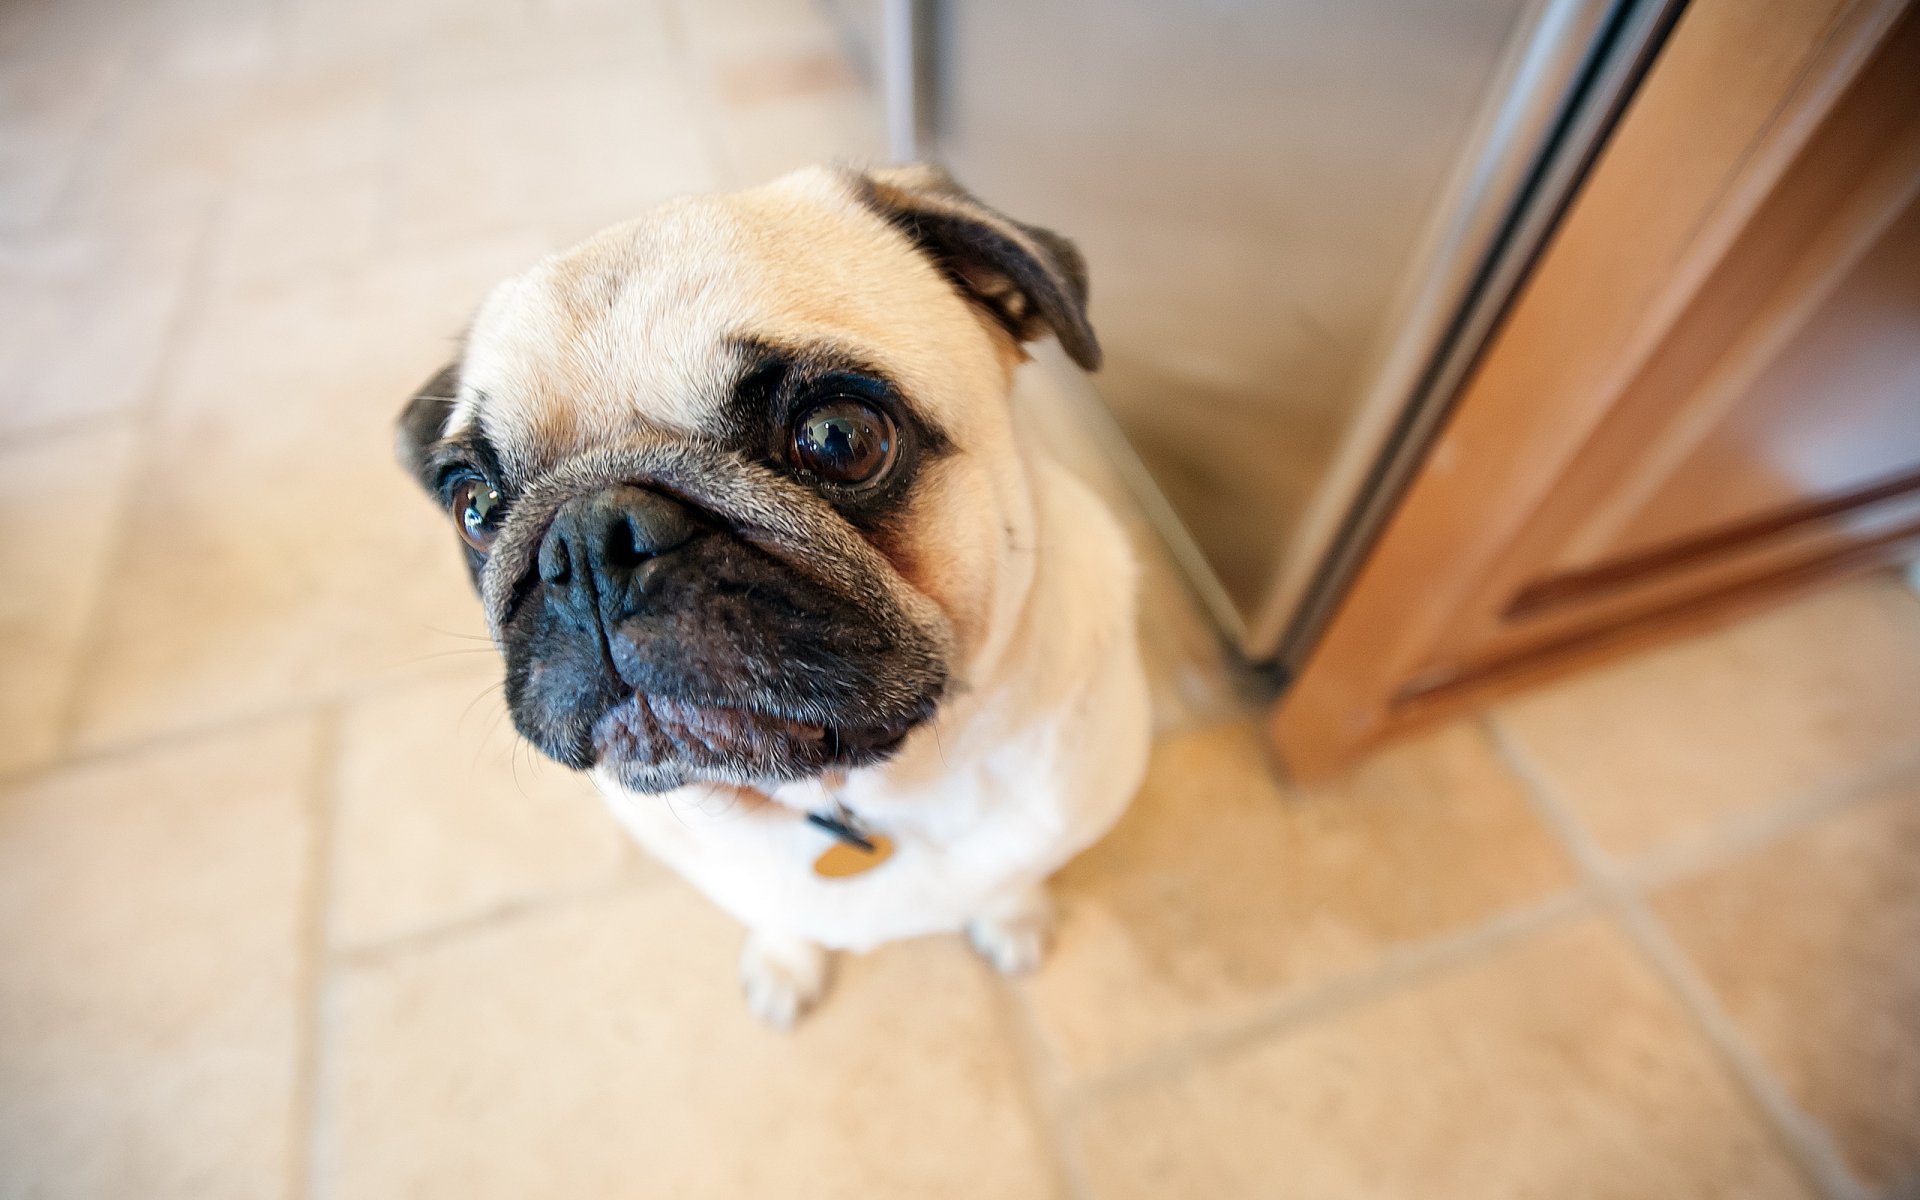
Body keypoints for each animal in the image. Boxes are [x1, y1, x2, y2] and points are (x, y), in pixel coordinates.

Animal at [395, 164, 1144, 1021]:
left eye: (842, 438)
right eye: (476, 507)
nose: (589, 541)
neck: (852, 796)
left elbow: (1013, 879)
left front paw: (1012, 918)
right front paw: (787, 964)